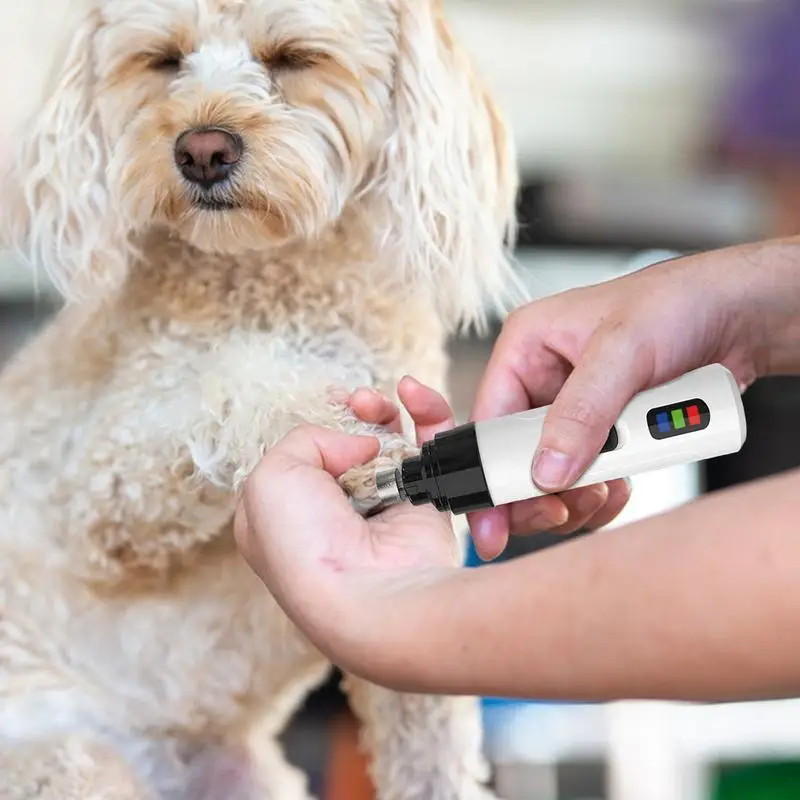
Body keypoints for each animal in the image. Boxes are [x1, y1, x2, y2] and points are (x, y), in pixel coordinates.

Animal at [0, 0, 520, 796]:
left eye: (294, 57)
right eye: (163, 60)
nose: (202, 150)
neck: (273, 284)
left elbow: (436, 755)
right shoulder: (99, 489)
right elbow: (234, 380)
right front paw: (335, 427)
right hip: (72, 763)